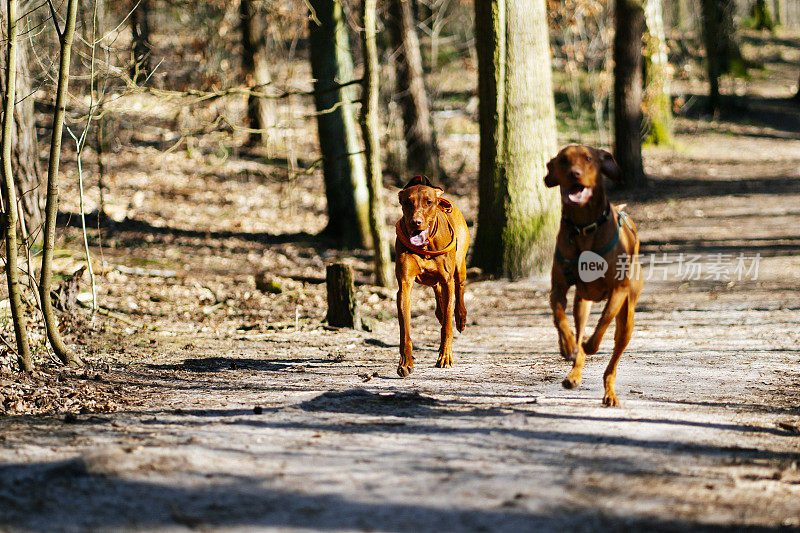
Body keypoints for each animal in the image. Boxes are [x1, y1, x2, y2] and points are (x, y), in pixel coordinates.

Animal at [394, 177, 468, 376]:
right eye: (407, 202)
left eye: (428, 202)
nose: (415, 222)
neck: (426, 245)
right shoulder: (404, 285)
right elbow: (405, 330)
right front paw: (405, 362)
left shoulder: (448, 281)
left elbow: (447, 326)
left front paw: (445, 357)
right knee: (438, 294)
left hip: (460, 265)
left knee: (460, 288)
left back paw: (461, 316)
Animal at [544, 143, 644, 406]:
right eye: (562, 160)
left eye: (589, 159)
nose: (575, 174)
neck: (583, 227)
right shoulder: (559, 288)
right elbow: (560, 317)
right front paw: (567, 345)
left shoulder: (619, 289)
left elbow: (605, 320)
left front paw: (591, 344)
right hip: (582, 302)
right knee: (578, 330)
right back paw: (573, 372)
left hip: (628, 319)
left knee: (613, 360)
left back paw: (609, 392)